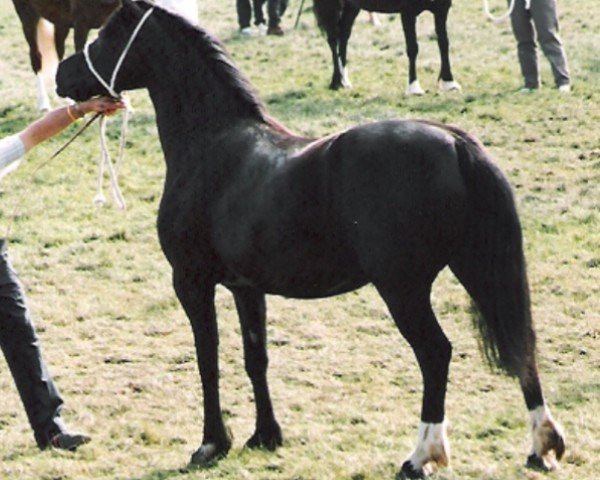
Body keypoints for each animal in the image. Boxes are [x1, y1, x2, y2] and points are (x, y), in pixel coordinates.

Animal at [312, 0, 462, 94]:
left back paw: (345, 81)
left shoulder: (442, 9)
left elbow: (444, 44)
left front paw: (449, 82)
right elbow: (413, 48)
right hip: (331, 6)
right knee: (332, 39)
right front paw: (414, 88)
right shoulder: (407, 12)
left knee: (343, 36)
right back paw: (337, 82)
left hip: (352, 7)